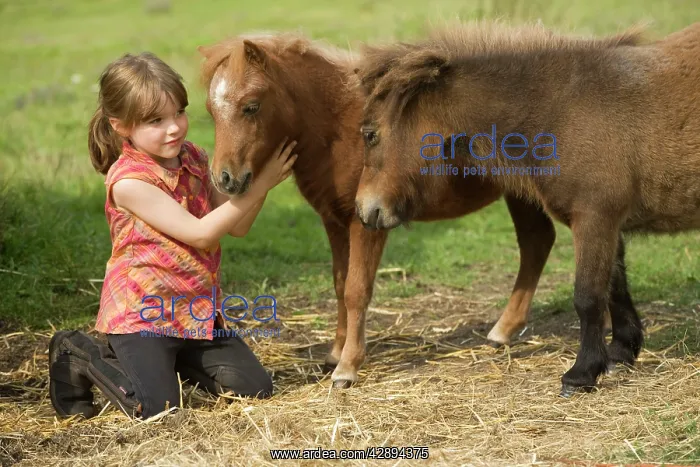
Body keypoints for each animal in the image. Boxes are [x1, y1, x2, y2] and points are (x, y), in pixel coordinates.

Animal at [197, 31, 558, 389]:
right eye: (211, 111)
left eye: (251, 107)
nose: (225, 179)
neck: (339, 125)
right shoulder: (334, 220)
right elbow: (340, 285)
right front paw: (335, 354)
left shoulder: (367, 221)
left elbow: (357, 290)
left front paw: (347, 368)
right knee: (537, 242)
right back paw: (502, 332)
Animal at [353, 19, 700, 396]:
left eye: (370, 134)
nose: (364, 210)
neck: (560, 107)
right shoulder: (607, 224)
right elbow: (615, 288)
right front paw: (622, 352)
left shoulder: (595, 217)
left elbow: (588, 297)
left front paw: (581, 373)